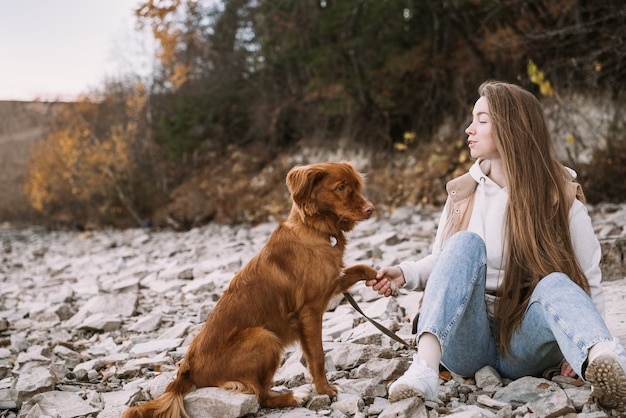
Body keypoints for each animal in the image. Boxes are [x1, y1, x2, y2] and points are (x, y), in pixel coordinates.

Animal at [122, 162, 376, 416]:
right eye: (341, 187)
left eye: (357, 185)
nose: (371, 209)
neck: (315, 228)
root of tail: (185, 374)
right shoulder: (309, 312)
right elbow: (318, 357)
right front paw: (325, 389)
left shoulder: (330, 284)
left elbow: (361, 267)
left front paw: (378, 277)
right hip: (264, 337)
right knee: (261, 397)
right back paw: (294, 397)